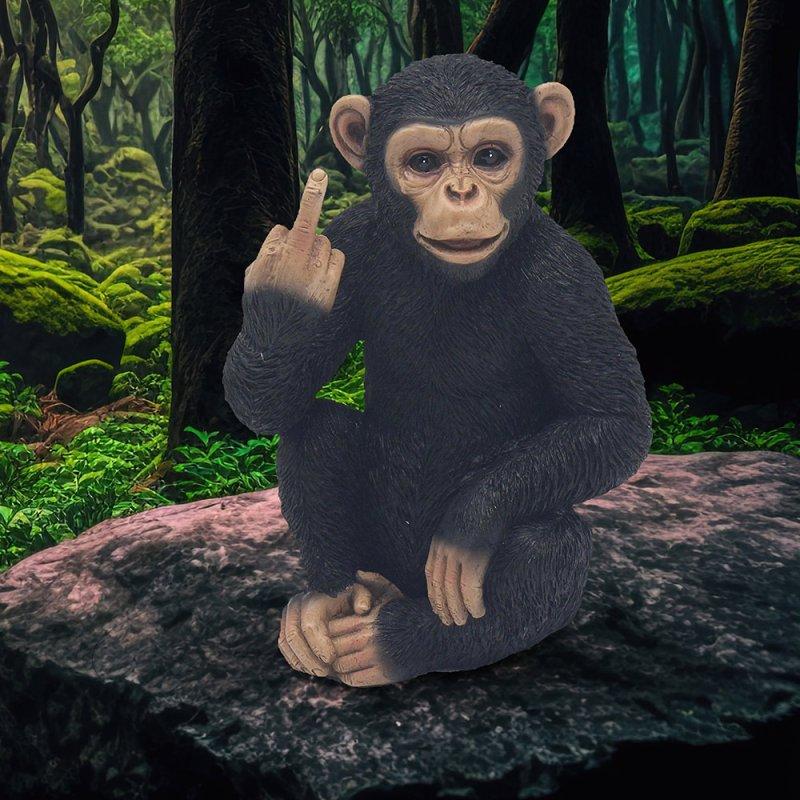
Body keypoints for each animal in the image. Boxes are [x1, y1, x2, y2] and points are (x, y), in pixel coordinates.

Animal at [223, 54, 652, 687]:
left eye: (490, 157)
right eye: (423, 163)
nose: (461, 191)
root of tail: (400, 584)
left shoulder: (568, 278)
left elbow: (615, 419)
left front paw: (469, 524)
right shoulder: (351, 241)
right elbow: (264, 406)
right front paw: (290, 275)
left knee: (550, 547)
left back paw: (395, 642)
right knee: (314, 428)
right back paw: (332, 600)